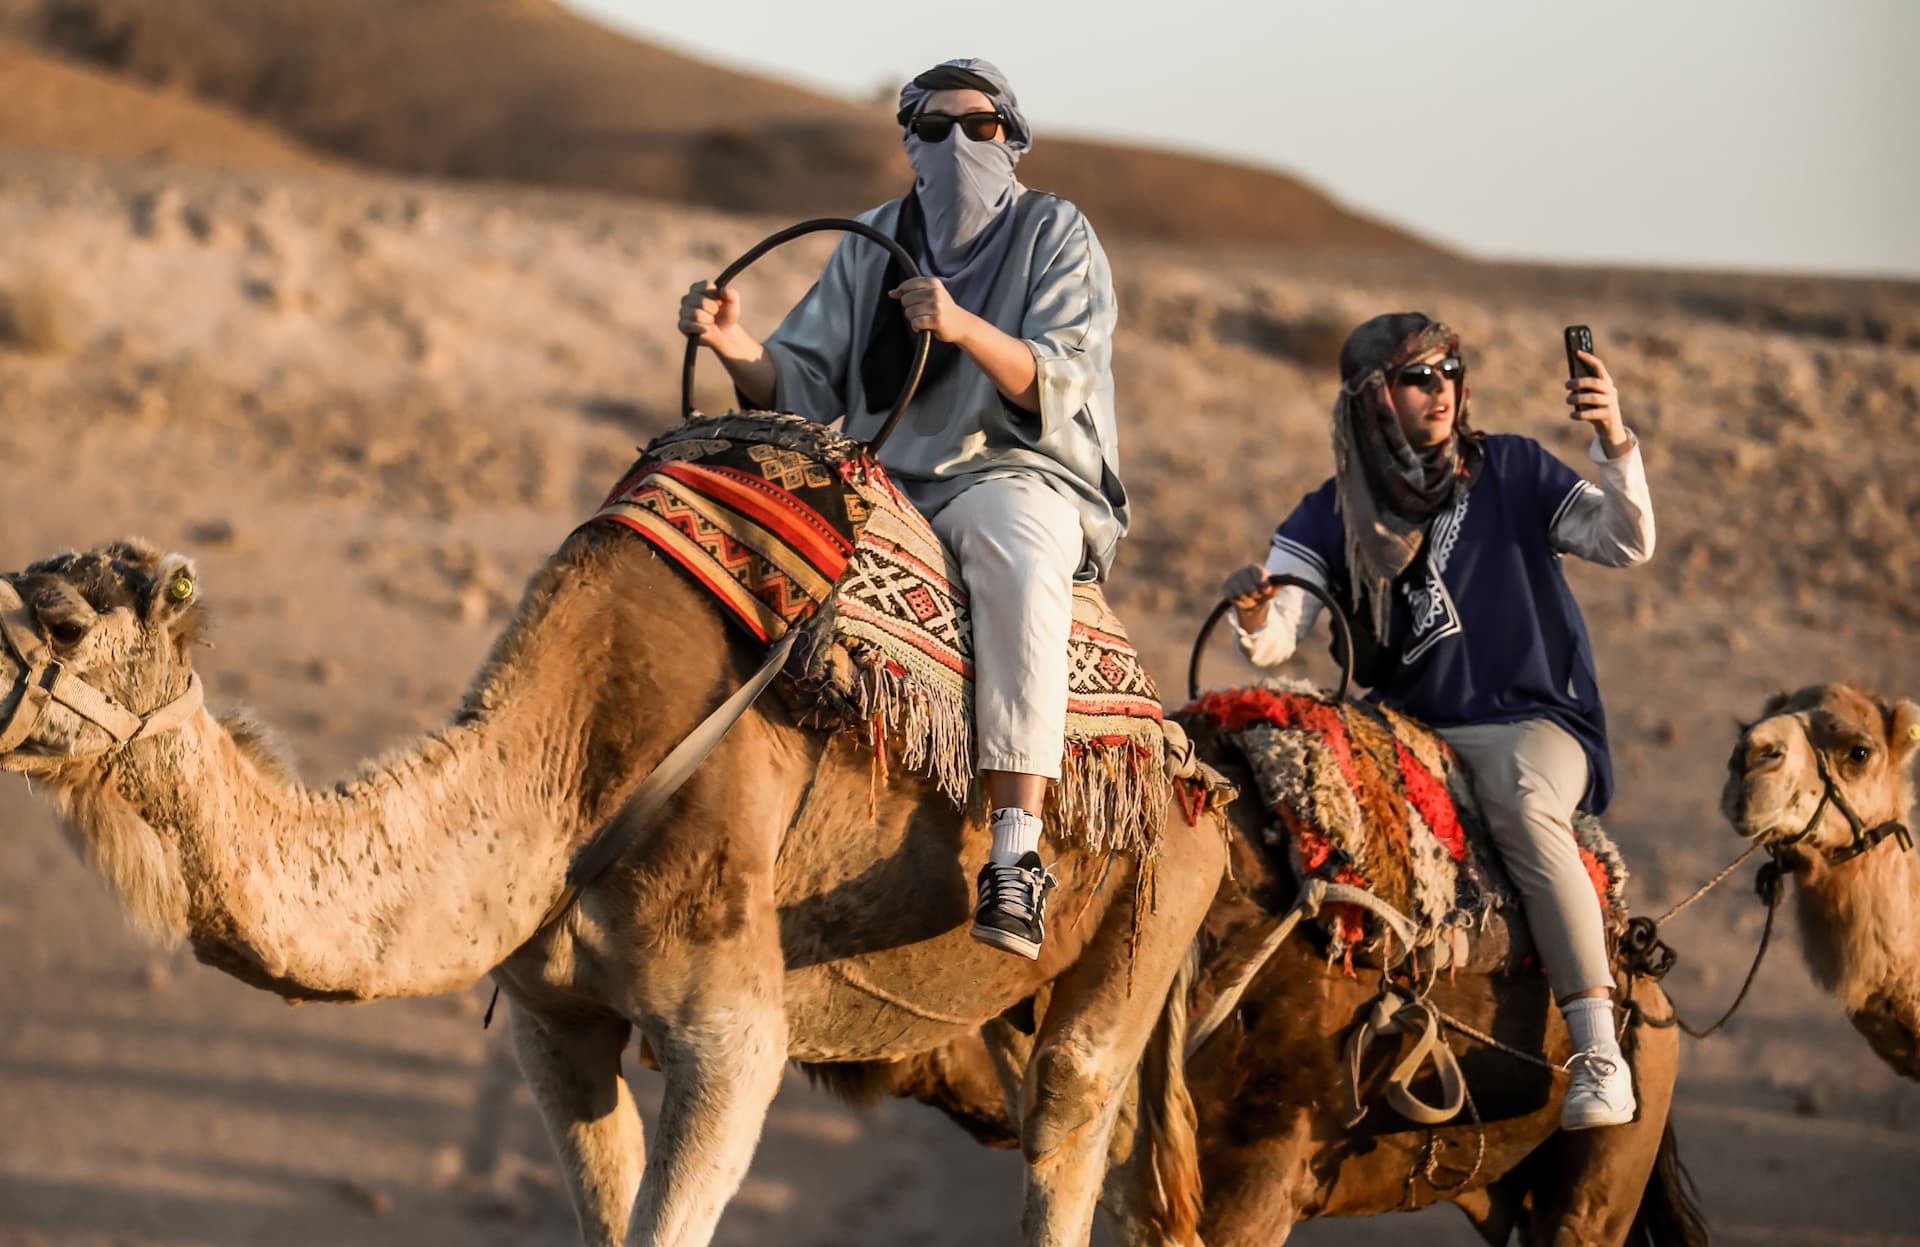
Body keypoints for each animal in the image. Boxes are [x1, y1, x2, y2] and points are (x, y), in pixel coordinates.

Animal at [0, 533, 1224, 1247]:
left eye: (62, 625)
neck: (569, 766)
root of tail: (1192, 765)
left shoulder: (732, 1029)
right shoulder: (554, 1018)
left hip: (1156, 899)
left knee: (1069, 1123)